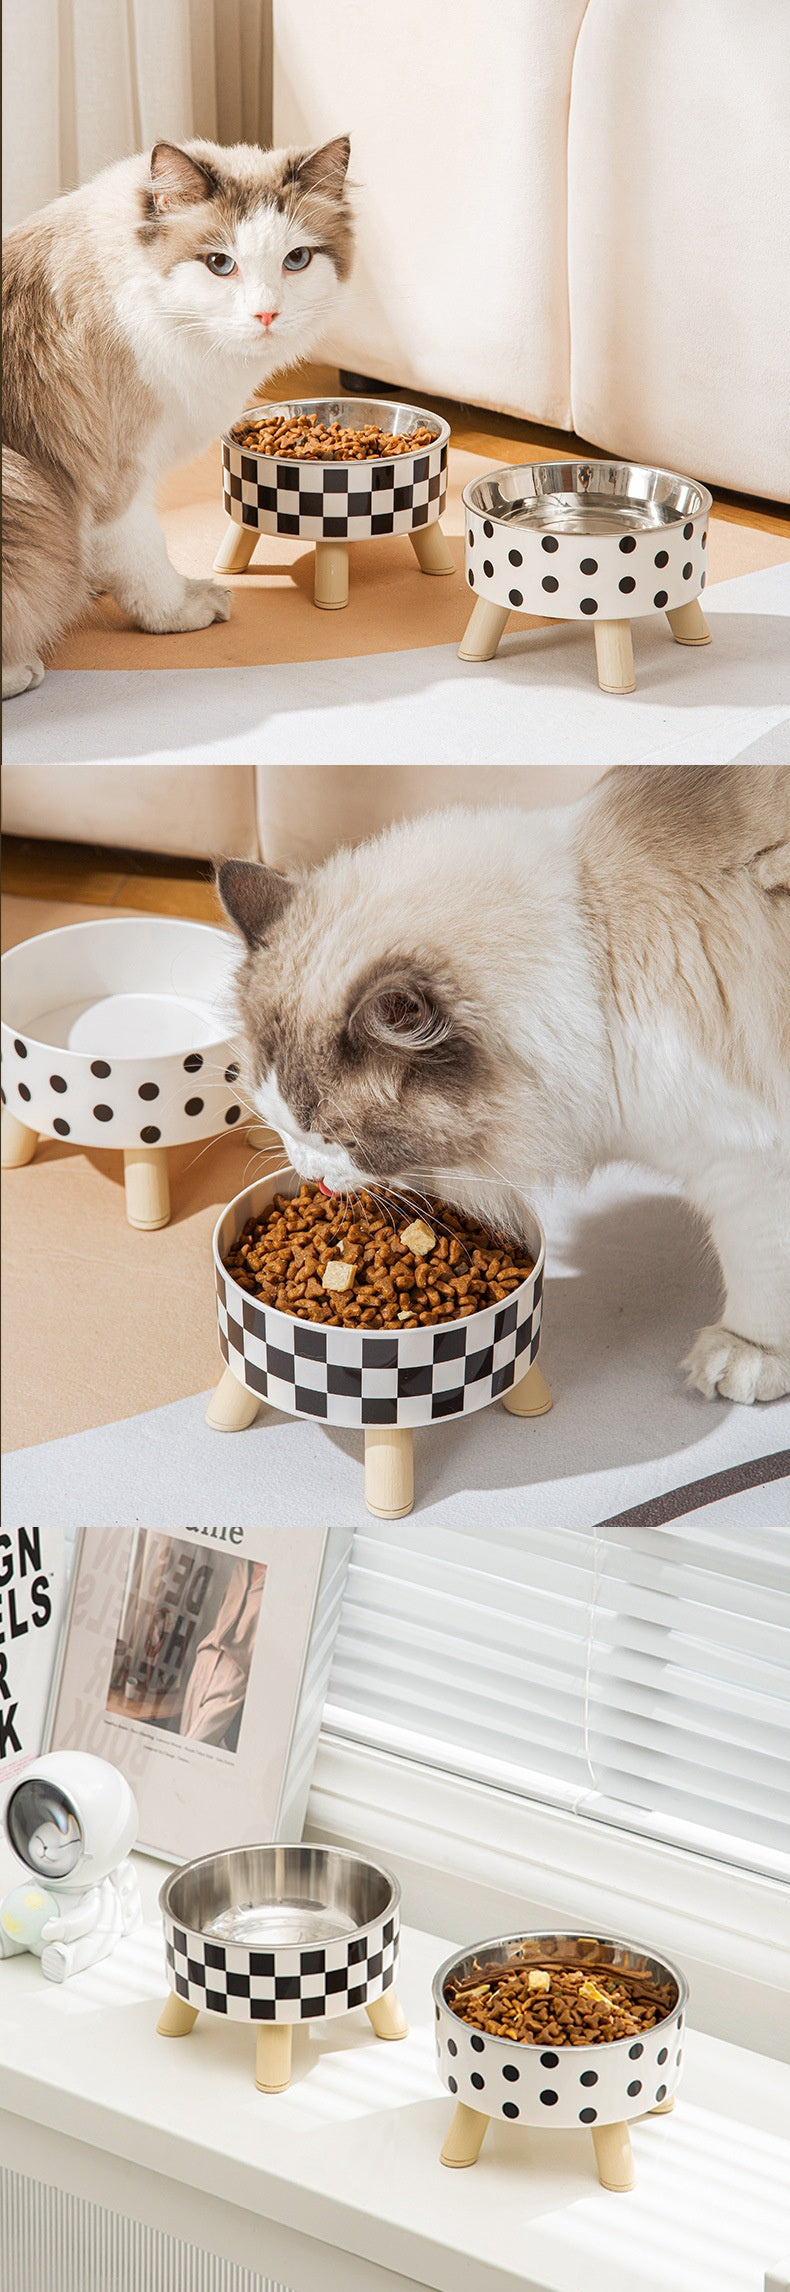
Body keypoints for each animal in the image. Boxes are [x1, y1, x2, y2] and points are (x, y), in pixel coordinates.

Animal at [0, 128, 350, 687]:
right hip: (21, 481)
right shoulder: (117, 477)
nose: (266, 314)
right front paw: (182, 609)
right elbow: (146, 560)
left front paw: (93, 583)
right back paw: (23, 669)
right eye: (219, 264)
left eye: (296, 260)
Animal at [218, 770, 787, 1402]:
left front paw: (747, 1356)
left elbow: (761, 1267)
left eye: (334, 1138)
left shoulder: (750, 1160)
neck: (595, 961)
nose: (311, 1175)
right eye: (279, 1124)